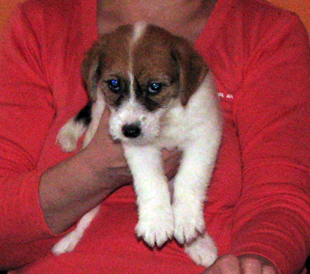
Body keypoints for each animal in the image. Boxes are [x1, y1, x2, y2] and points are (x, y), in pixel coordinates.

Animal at [54, 22, 223, 268]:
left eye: (155, 86)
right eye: (114, 84)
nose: (130, 130)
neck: (166, 119)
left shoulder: (204, 136)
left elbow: (191, 177)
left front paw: (186, 219)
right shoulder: (140, 149)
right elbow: (151, 181)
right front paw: (156, 221)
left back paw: (200, 243)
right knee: (84, 219)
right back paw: (69, 239)